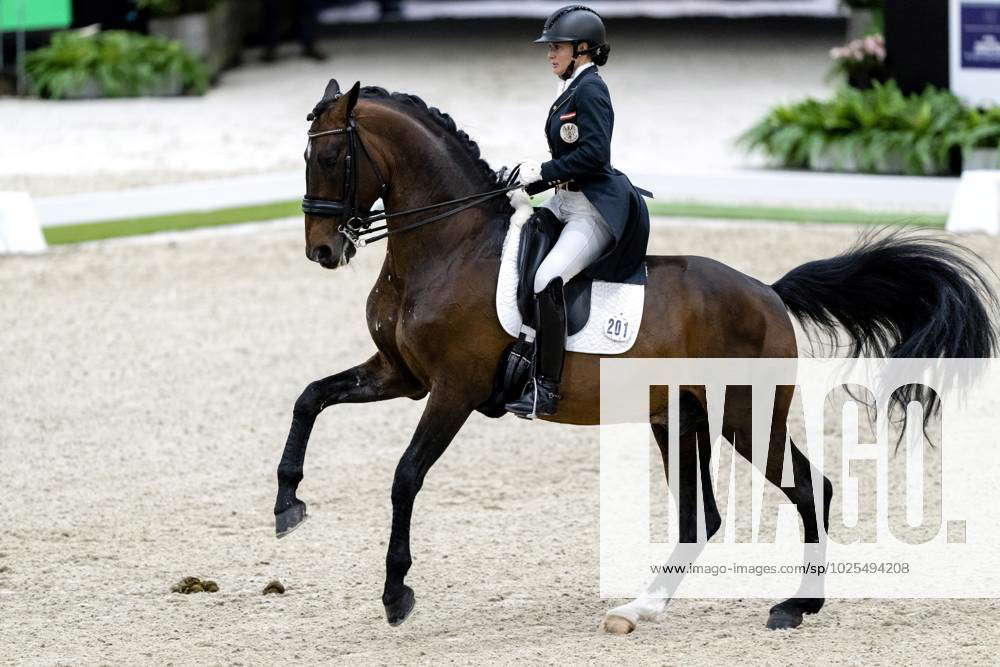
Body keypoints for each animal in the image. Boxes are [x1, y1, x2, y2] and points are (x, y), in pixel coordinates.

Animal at [274, 81, 1000, 636]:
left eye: (331, 154)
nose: (322, 250)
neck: (447, 245)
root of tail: (768, 292)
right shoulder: (402, 376)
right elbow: (309, 396)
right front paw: (287, 503)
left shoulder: (453, 388)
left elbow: (405, 476)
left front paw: (396, 593)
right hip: (679, 415)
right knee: (702, 515)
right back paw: (643, 606)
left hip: (745, 416)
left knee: (807, 487)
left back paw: (796, 606)